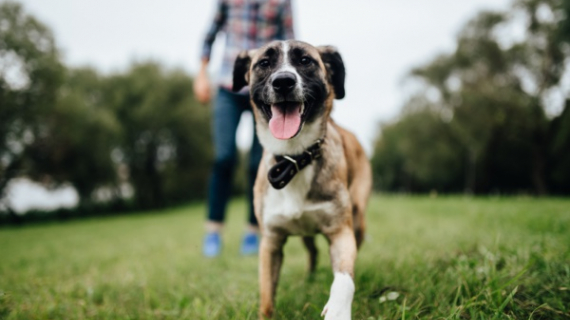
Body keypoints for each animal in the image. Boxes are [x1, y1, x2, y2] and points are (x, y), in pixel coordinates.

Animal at [233, 40, 370, 320]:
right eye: (264, 63)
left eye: (305, 61)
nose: (283, 81)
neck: (294, 158)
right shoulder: (271, 242)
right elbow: (267, 297)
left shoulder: (340, 232)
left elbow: (344, 278)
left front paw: (338, 309)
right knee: (313, 251)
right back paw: (310, 278)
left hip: (358, 219)